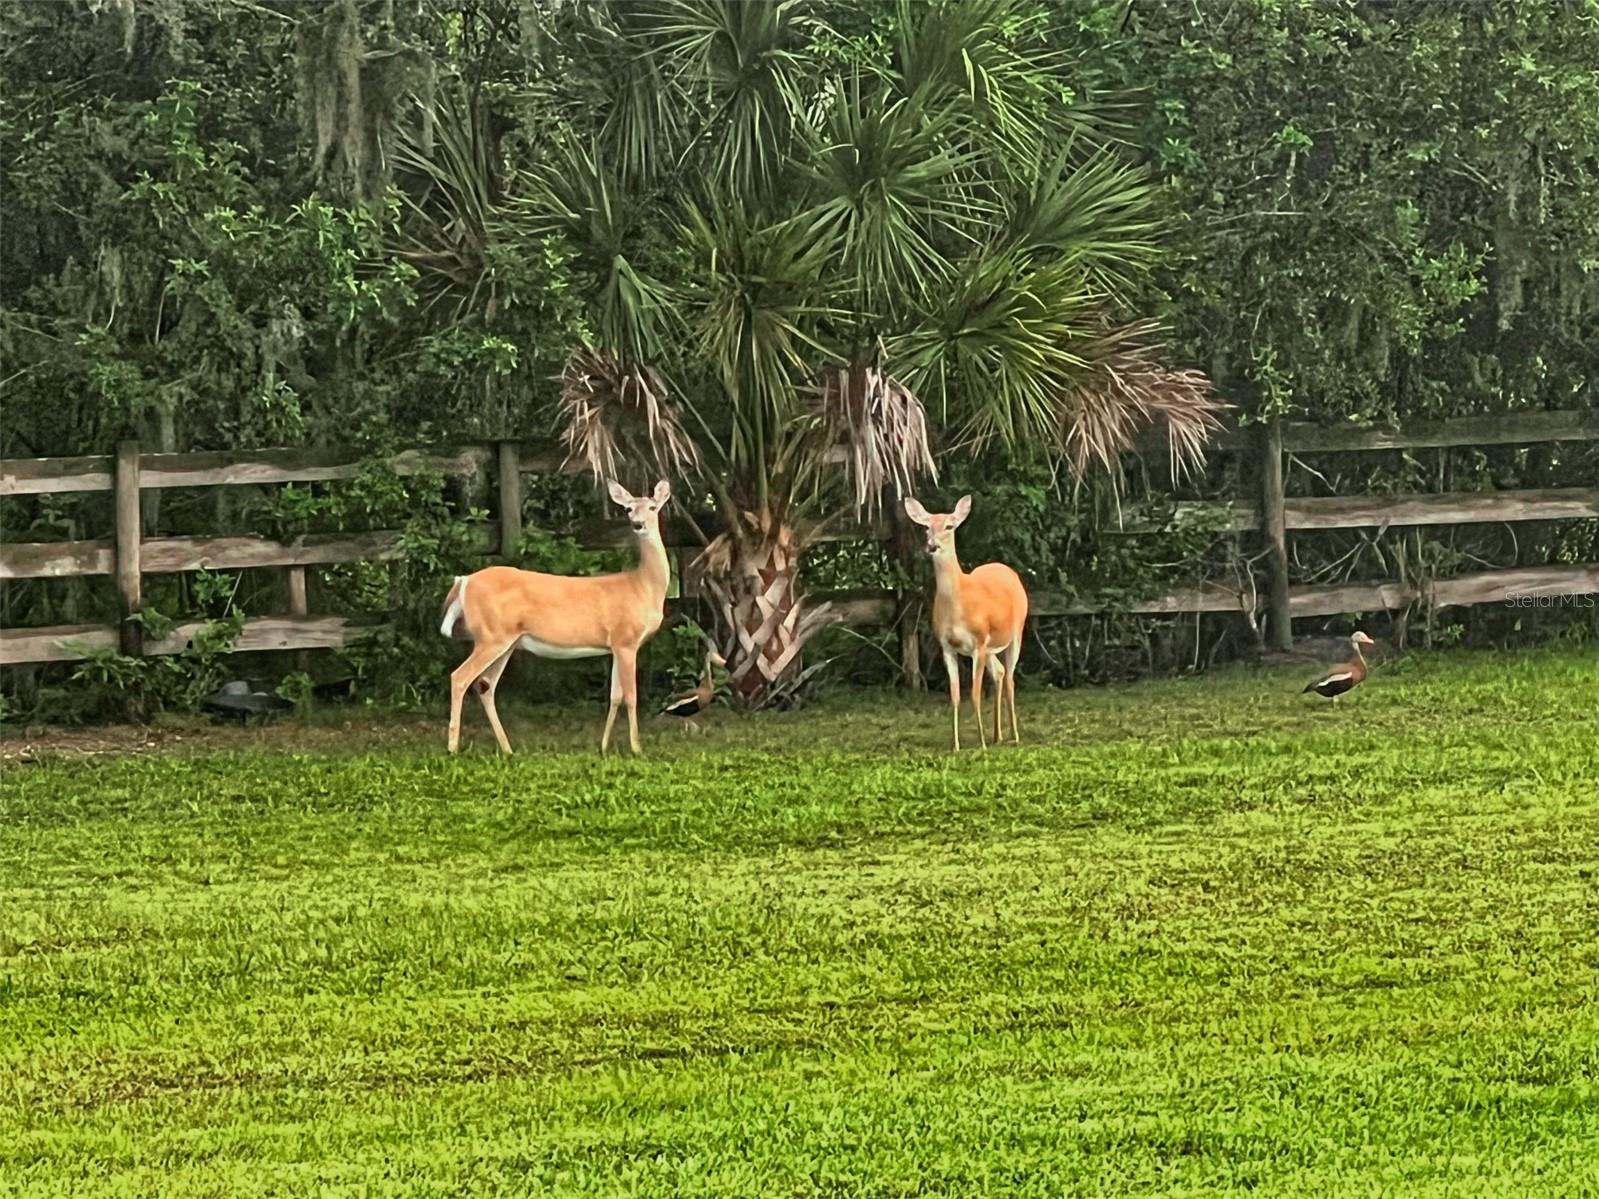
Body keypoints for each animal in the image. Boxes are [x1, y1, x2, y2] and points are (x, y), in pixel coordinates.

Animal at [439, 480, 672, 755]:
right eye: (628, 508)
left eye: (653, 507)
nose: (638, 524)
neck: (642, 587)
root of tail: (463, 581)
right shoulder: (627, 639)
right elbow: (631, 696)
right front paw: (636, 748)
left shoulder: (615, 644)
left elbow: (614, 696)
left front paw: (603, 747)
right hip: (491, 636)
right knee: (460, 677)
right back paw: (453, 748)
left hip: (505, 641)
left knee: (485, 685)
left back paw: (508, 749)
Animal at [904, 495, 1029, 752]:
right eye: (926, 527)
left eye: (949, 526)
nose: (932, 546)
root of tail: (1008, 570)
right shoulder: (947, 647)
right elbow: (955, 695)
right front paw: (956, 745)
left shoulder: (978, 643)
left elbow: (974, 693)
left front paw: (980, 743)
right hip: (991, 648)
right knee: (1000, 672)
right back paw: (997, 736)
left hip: (1016, 632)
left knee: (1010, 678)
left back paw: (1013, 735)